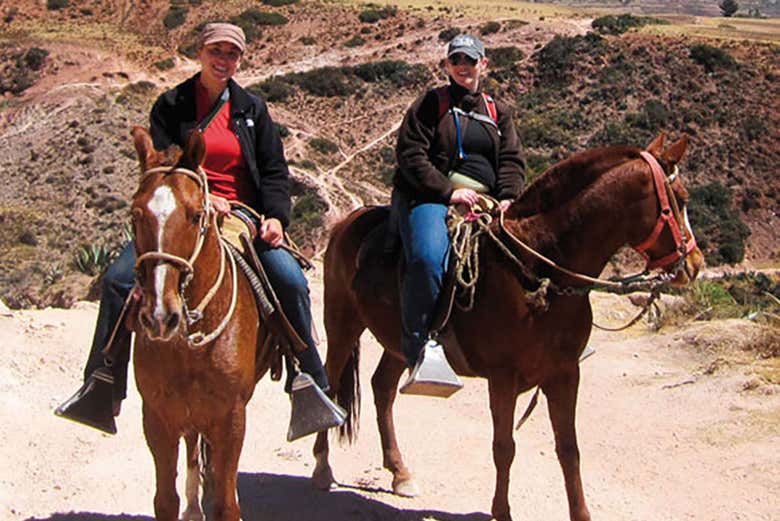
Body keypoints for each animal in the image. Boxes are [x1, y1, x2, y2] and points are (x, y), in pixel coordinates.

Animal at [128, 127, 274, 520]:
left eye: (195, 215)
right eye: (135, 215)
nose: (160, 316)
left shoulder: (231, 417)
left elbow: (226, 503)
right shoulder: (157, 417)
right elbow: (165, 500)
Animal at [312, 133, 708, 520]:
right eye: (681, 199)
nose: (695, 263)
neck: (536, 269)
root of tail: (347, 223)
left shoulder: (564, 374)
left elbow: (569, 449)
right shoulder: (503, 377)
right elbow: (504, 447)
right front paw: (501, 512)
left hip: (399, 342)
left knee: (383, 388)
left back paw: (400, 473)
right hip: (342, 323)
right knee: (330, 383)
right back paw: (322, 469)